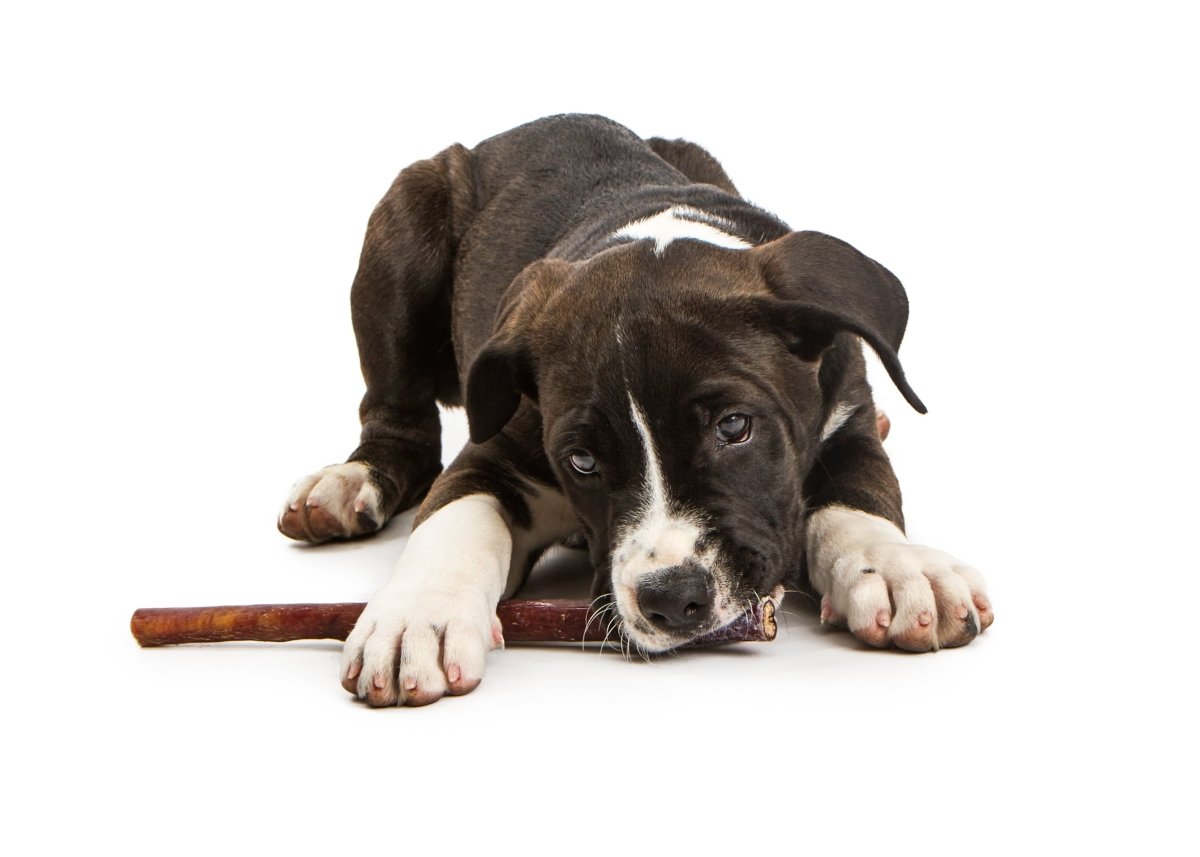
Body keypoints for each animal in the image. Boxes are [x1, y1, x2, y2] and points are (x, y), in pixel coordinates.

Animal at [276, 111, 988, 700]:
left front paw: (899, 570)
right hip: (402, 230)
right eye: (583, 461)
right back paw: (349, 482)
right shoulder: (490, 454)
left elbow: (860, 498)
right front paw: (415, 617)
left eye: (735, 427)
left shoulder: (847, 422)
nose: (672, 600)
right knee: (401, 423)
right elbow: (452, 523)